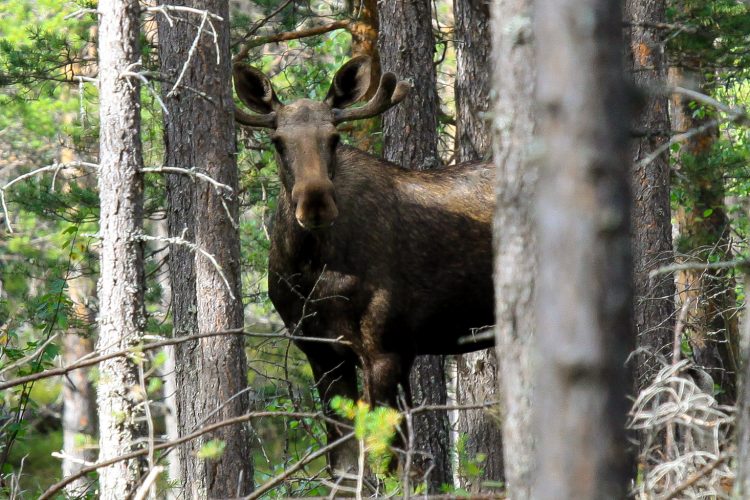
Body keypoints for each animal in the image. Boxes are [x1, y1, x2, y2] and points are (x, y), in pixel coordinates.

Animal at [233, 56, 495, 476]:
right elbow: (342, 466)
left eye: (334, 138)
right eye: (278, 142)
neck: (312, 273)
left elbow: (391, 461)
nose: (316, 203)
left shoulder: (388, 349)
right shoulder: (321, 352)